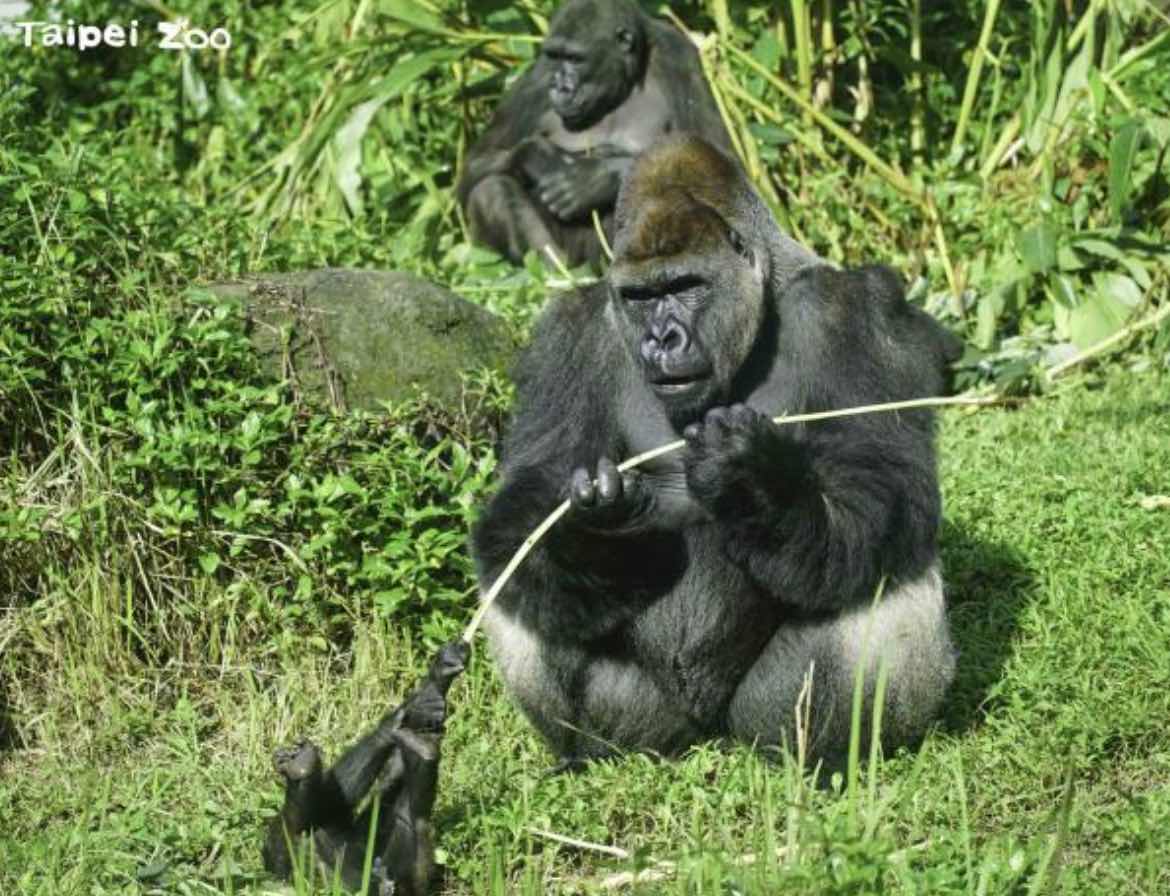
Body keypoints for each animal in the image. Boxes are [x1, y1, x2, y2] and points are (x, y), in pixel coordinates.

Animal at [456, 0, 730, 269]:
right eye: (555, 56)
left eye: (575, 58)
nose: (561, 86)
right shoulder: (538, 77)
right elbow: (475, 166)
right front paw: (538, 155)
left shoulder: (679, 55)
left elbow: (716, 160)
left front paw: (594, 178)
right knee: (491, 188)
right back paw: (554, 272)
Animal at [470, 136, 964, 767]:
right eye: (640, 296)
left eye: (686, 286)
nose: (662, 340)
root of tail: (709, 734)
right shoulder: (563, 333)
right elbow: (525, 500)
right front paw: (592, 537)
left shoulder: (863, 310)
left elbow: (882, 478)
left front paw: (760, 486)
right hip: (649, 726)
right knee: (522, 583)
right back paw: (587, 751)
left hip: (758, 720)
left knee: (876, 572)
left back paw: (827, 758)